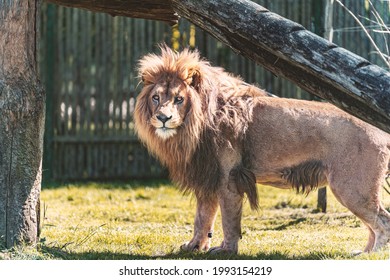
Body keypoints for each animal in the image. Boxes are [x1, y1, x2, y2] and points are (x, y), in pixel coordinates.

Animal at [135, 44, 390, 255]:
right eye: (156, 97)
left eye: (179, 99)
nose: (163, 118)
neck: (193, 126)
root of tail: (380, 130)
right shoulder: (208, 176)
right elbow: (203, 216)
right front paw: (194, 246)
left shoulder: (229, 177)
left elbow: (228, 219)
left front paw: (226, 250)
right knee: (373, 224)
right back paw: (362, 253)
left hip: (352, 188)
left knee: (382, 221)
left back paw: (372, 255)